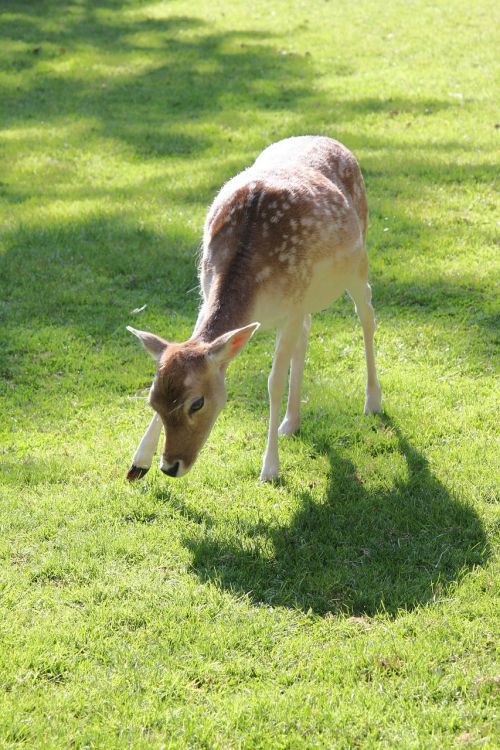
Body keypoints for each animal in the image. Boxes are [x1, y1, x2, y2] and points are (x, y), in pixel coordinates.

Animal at [127, 136, 380, 484]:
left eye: (197, 403)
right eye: (153, 400)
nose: (170, 466)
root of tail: (330, 139)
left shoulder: (291, 308)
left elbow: (273, 382)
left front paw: (270, 468)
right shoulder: (205, 290)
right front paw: (138, 462)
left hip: (358, 263)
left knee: (367, 314)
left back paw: (372, 401)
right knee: (307, 333)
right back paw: (291, 422)